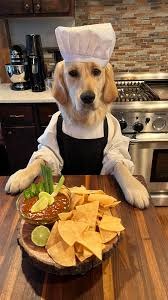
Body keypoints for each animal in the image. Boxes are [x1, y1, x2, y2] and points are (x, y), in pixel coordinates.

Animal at [5, 61, 150, 210]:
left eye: (96, 71)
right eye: (73, 73)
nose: (88, 97)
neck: (84, 122)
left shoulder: (114, 148)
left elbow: (120, 165)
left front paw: (135, 187)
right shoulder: (51, 148)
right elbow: (39, 160)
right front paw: (21, 175)